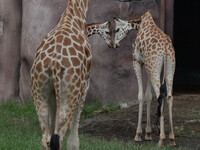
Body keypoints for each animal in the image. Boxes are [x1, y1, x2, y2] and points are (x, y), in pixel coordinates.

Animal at [30, 0, 92, 149]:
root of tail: (55, 63)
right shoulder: (85, 86)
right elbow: (74, 139)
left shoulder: (52, 93)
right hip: (70, 94)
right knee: (59, 137)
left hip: (39, 91)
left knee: (46, 137)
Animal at [113, 10, 176, 146]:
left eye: (117, 29)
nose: (114, 45)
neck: (141, 22)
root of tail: (166, 49)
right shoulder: (147, 66)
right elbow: (148, 96)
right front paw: (148, 134)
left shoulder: (137, 62)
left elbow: (141, 96)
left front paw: (138, 135)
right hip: (168, 69)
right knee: (169, 96)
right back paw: (172, 138)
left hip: (154, 68)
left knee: (160, 95)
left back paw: (161, 139)